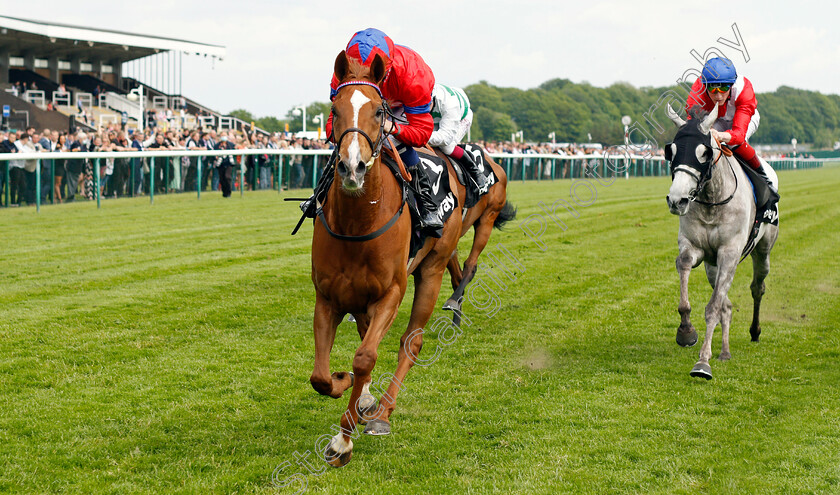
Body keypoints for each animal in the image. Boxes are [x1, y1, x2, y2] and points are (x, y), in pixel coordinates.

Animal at [308, 48, 512, 466]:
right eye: (334, 109)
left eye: (378, 112)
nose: (352, 167)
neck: (358, 222)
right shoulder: (328, 295)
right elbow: (321, 376)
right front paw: (346, 385)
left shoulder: (391, 292)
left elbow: (365, 357)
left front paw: (343, 440)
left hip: (441, 260)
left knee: (413, 338)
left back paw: (383, 411)